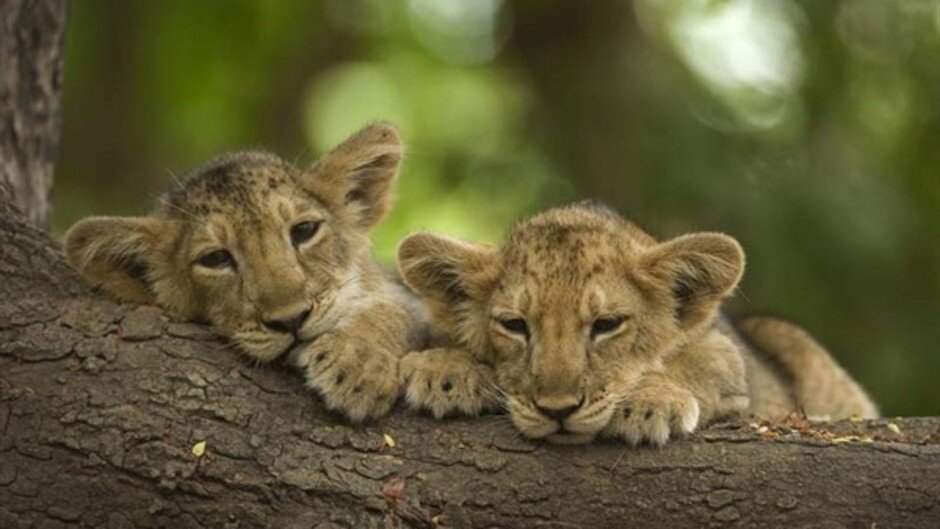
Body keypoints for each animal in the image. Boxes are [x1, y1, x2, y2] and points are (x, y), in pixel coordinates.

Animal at [396, 202, 877, 444]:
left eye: (607, 324)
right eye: (515, 325)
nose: (557, 411)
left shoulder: (728, 358)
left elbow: (694, 365)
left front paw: (648, 403)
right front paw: (446, 370)